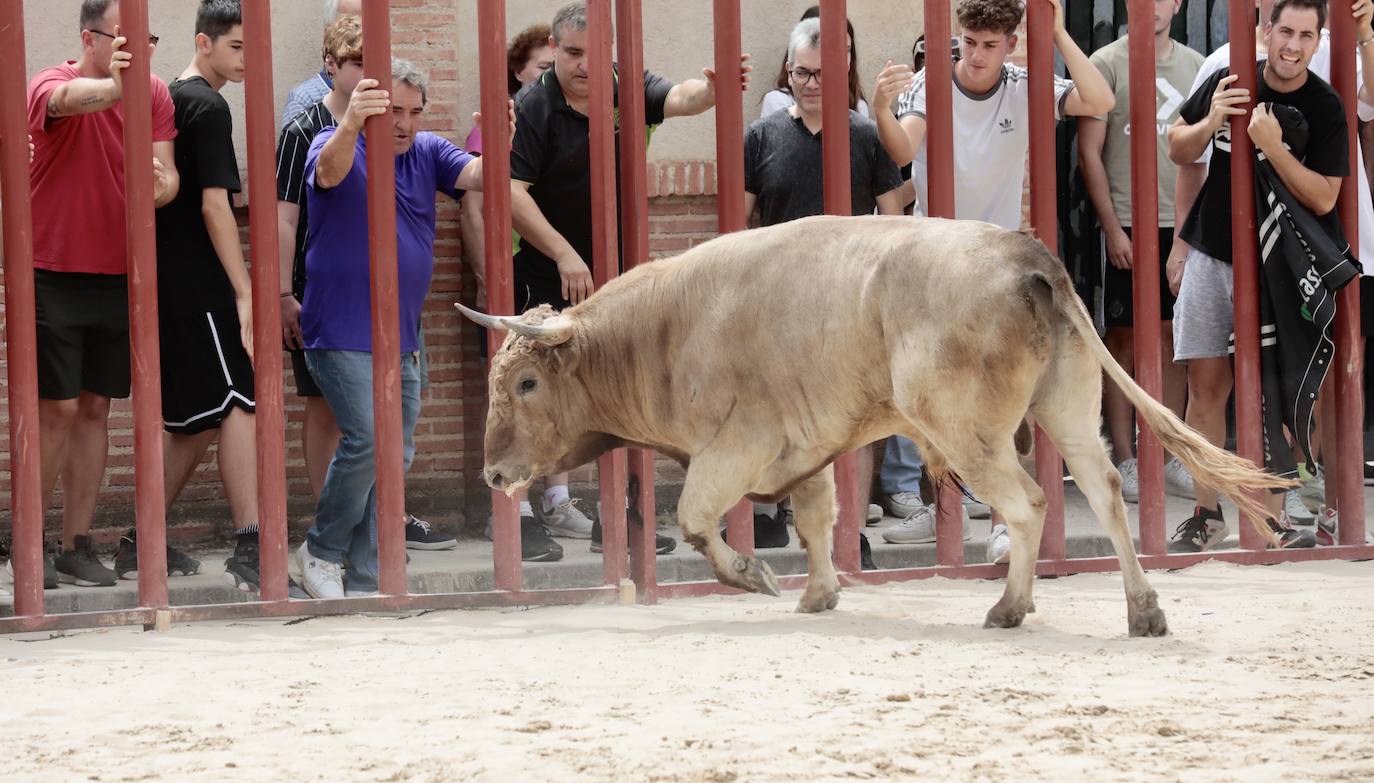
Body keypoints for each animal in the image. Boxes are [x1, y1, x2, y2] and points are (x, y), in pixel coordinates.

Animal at [458, 212, 1286, 634]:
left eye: (526, 382)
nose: (492, 473)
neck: (663, 330)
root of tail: (1032, 261)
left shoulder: (737, 444)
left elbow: (696, 519)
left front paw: (754, 574)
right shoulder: (807, 446)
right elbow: (816, 518)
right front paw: (818, 593)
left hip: (967, 431)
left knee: (1028, 503)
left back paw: (1010, 605)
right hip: (1068, 405)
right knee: (1106, 488)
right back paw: (1142, 608)